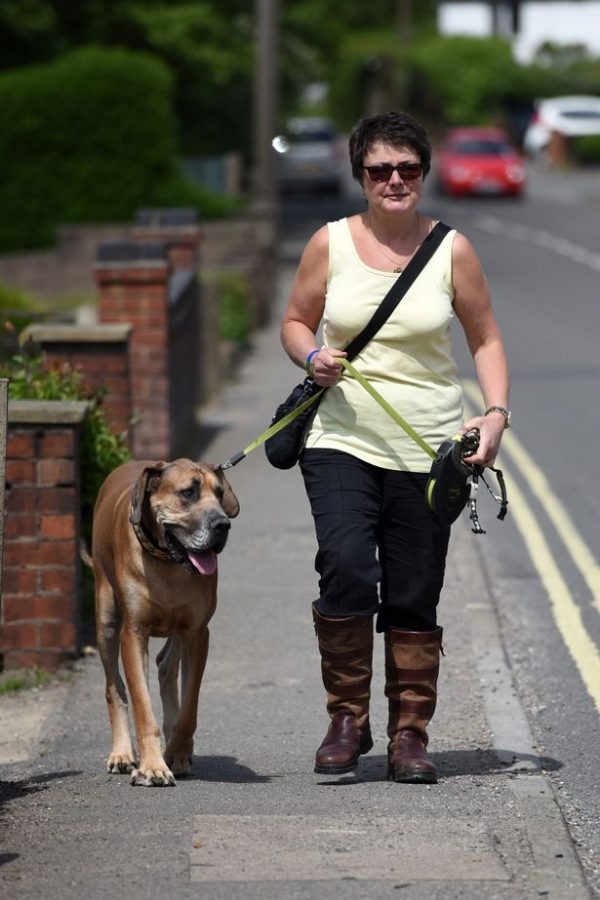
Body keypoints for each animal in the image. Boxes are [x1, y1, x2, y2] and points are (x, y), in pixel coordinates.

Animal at [91, 460, 239, 784]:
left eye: (220, 493)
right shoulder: (133, 633)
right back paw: (121, 753)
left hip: (178, 630)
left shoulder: (197, 632)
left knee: (166, 667)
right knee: (113, 688)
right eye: (188, 493)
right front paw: (152, 767)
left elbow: (189, 707)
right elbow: (142, 705)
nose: (223, 525)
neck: (167, 563)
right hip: (106, 617)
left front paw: (177, 753)